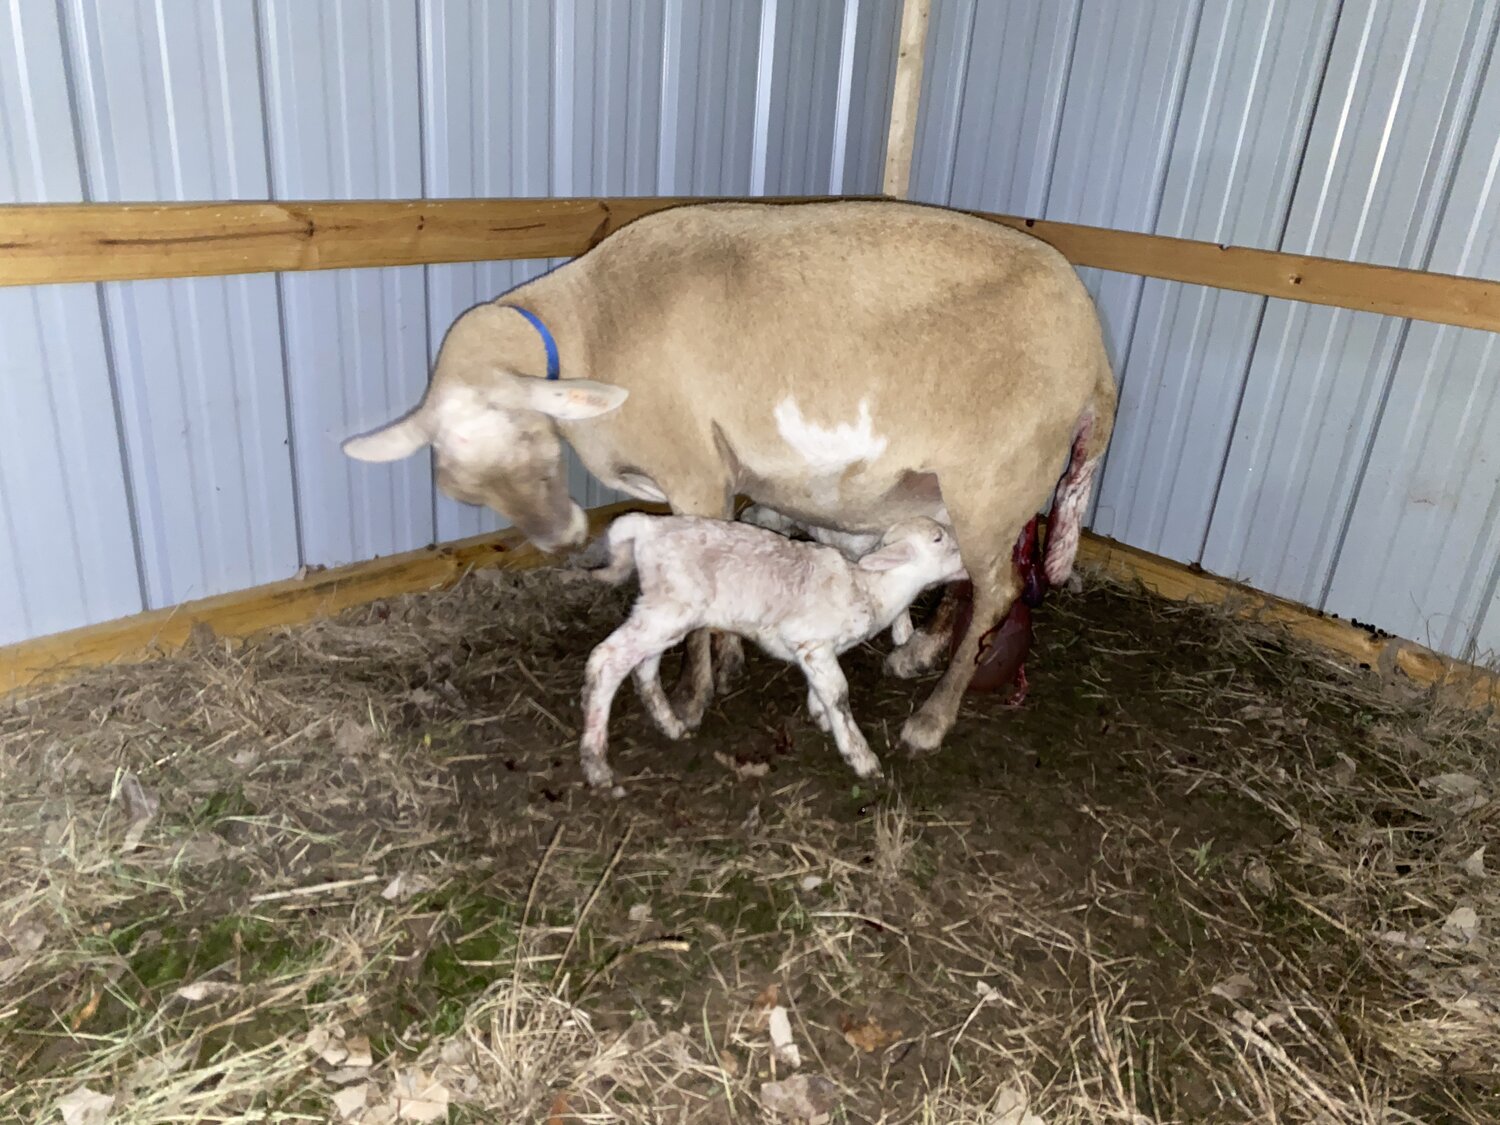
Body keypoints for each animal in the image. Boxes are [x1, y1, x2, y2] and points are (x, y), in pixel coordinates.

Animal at [579, 513, 966, 790]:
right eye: (938, 538)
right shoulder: (810, 640)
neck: (869, 588)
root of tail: (646, 527)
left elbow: (822, 689)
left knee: (642, 664)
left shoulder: (813, 651)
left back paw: (670, 724)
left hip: (662, 611)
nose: (968, 562)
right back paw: (596, 764)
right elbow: (839, 694)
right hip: (669, 609)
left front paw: (819, 714)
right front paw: (861, 757)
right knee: (606, 659)